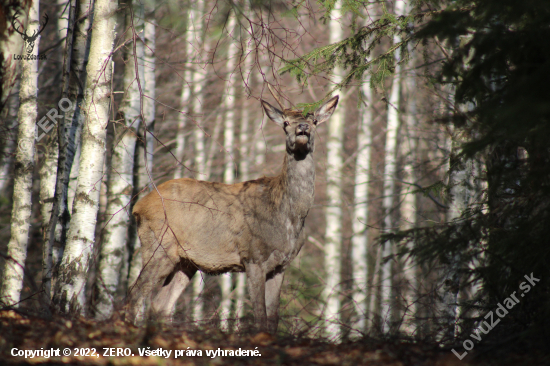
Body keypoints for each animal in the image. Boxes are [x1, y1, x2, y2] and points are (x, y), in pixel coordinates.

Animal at [127, 87, 338, 334]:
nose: (302, 128)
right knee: (135, 295)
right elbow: (260, 317)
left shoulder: (281, 266)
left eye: (314, 121)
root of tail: (138, 206)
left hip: (185, 261)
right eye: (286, 122)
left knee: (160, 304)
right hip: (159, 245)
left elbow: (273, 319)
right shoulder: (253, 257)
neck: (289, 217)